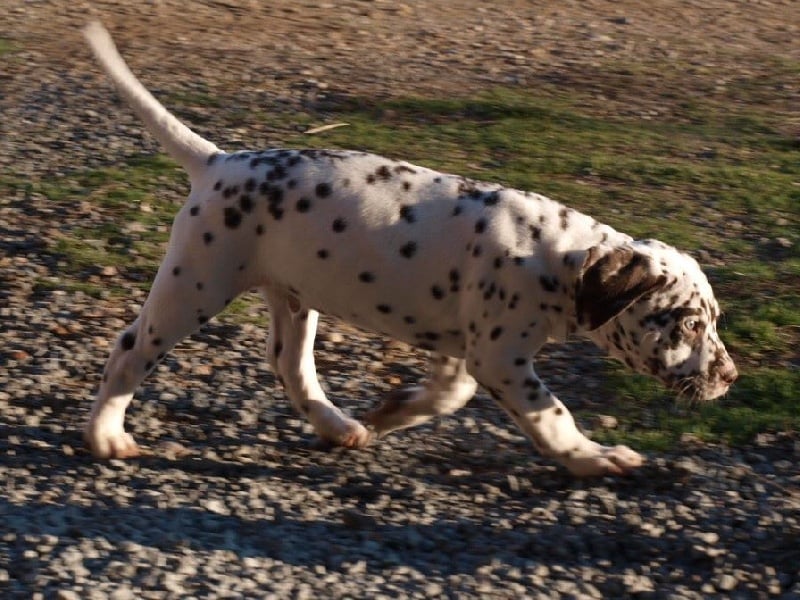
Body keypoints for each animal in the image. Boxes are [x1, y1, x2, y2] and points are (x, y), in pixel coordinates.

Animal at [81, 22, 737, 476]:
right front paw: (594, 457)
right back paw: (106, 436)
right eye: (685, 323)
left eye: (712, 320)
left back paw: (339, 426)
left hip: (293, 297)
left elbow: (449, 394)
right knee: (130, 350)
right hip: (197, 283)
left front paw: (392, 410)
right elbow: (552, 416)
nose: (729, 377)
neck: (559, 255)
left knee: (291, 367)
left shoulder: (458, 346)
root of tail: (218, 162)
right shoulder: (500, 357)